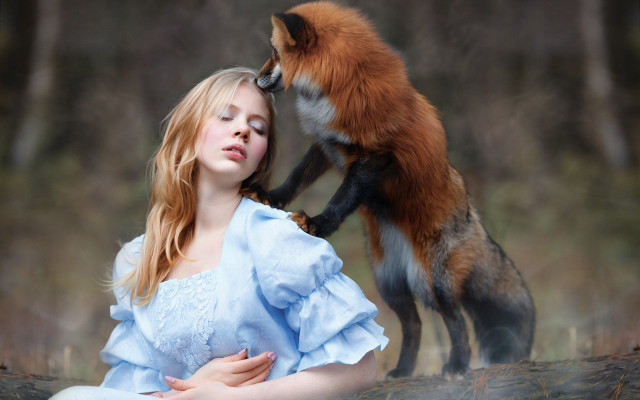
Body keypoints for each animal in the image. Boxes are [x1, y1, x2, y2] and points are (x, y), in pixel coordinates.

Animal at [254, 1, 535, 378]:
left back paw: (457, 365)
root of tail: (472, 217)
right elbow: (298, 176)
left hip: (433, 283)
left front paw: (319, 223)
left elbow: (342, 198)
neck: (339, 89)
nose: (255, 80)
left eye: (274, 52)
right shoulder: (327, 146)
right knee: (413, 326)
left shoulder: (374, 156)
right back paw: (402, 371)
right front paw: (275, 197)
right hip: (391, 285)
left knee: (456, 322)